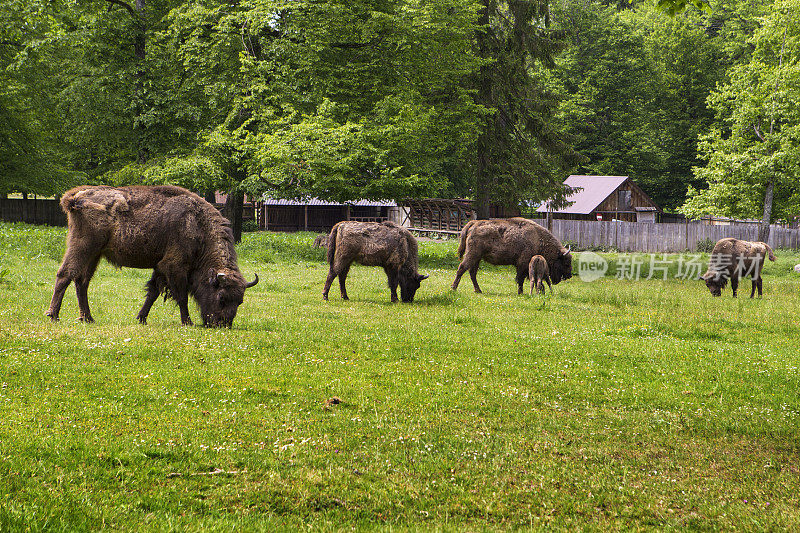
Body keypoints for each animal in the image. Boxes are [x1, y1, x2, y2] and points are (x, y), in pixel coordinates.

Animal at [45, 185, 258, 326]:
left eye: (239, 301)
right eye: (221, 297)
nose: (223, 324)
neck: (198, 225)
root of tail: (76, 196)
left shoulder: (160, 267)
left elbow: (153, 293)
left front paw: (141, 319)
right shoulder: (175, 267)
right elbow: (181, 296)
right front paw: (187, 322)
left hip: (95, 254)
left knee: (82, 282)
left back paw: (87, 318)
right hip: (82, 248)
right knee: (65, 275)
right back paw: (54, 315)